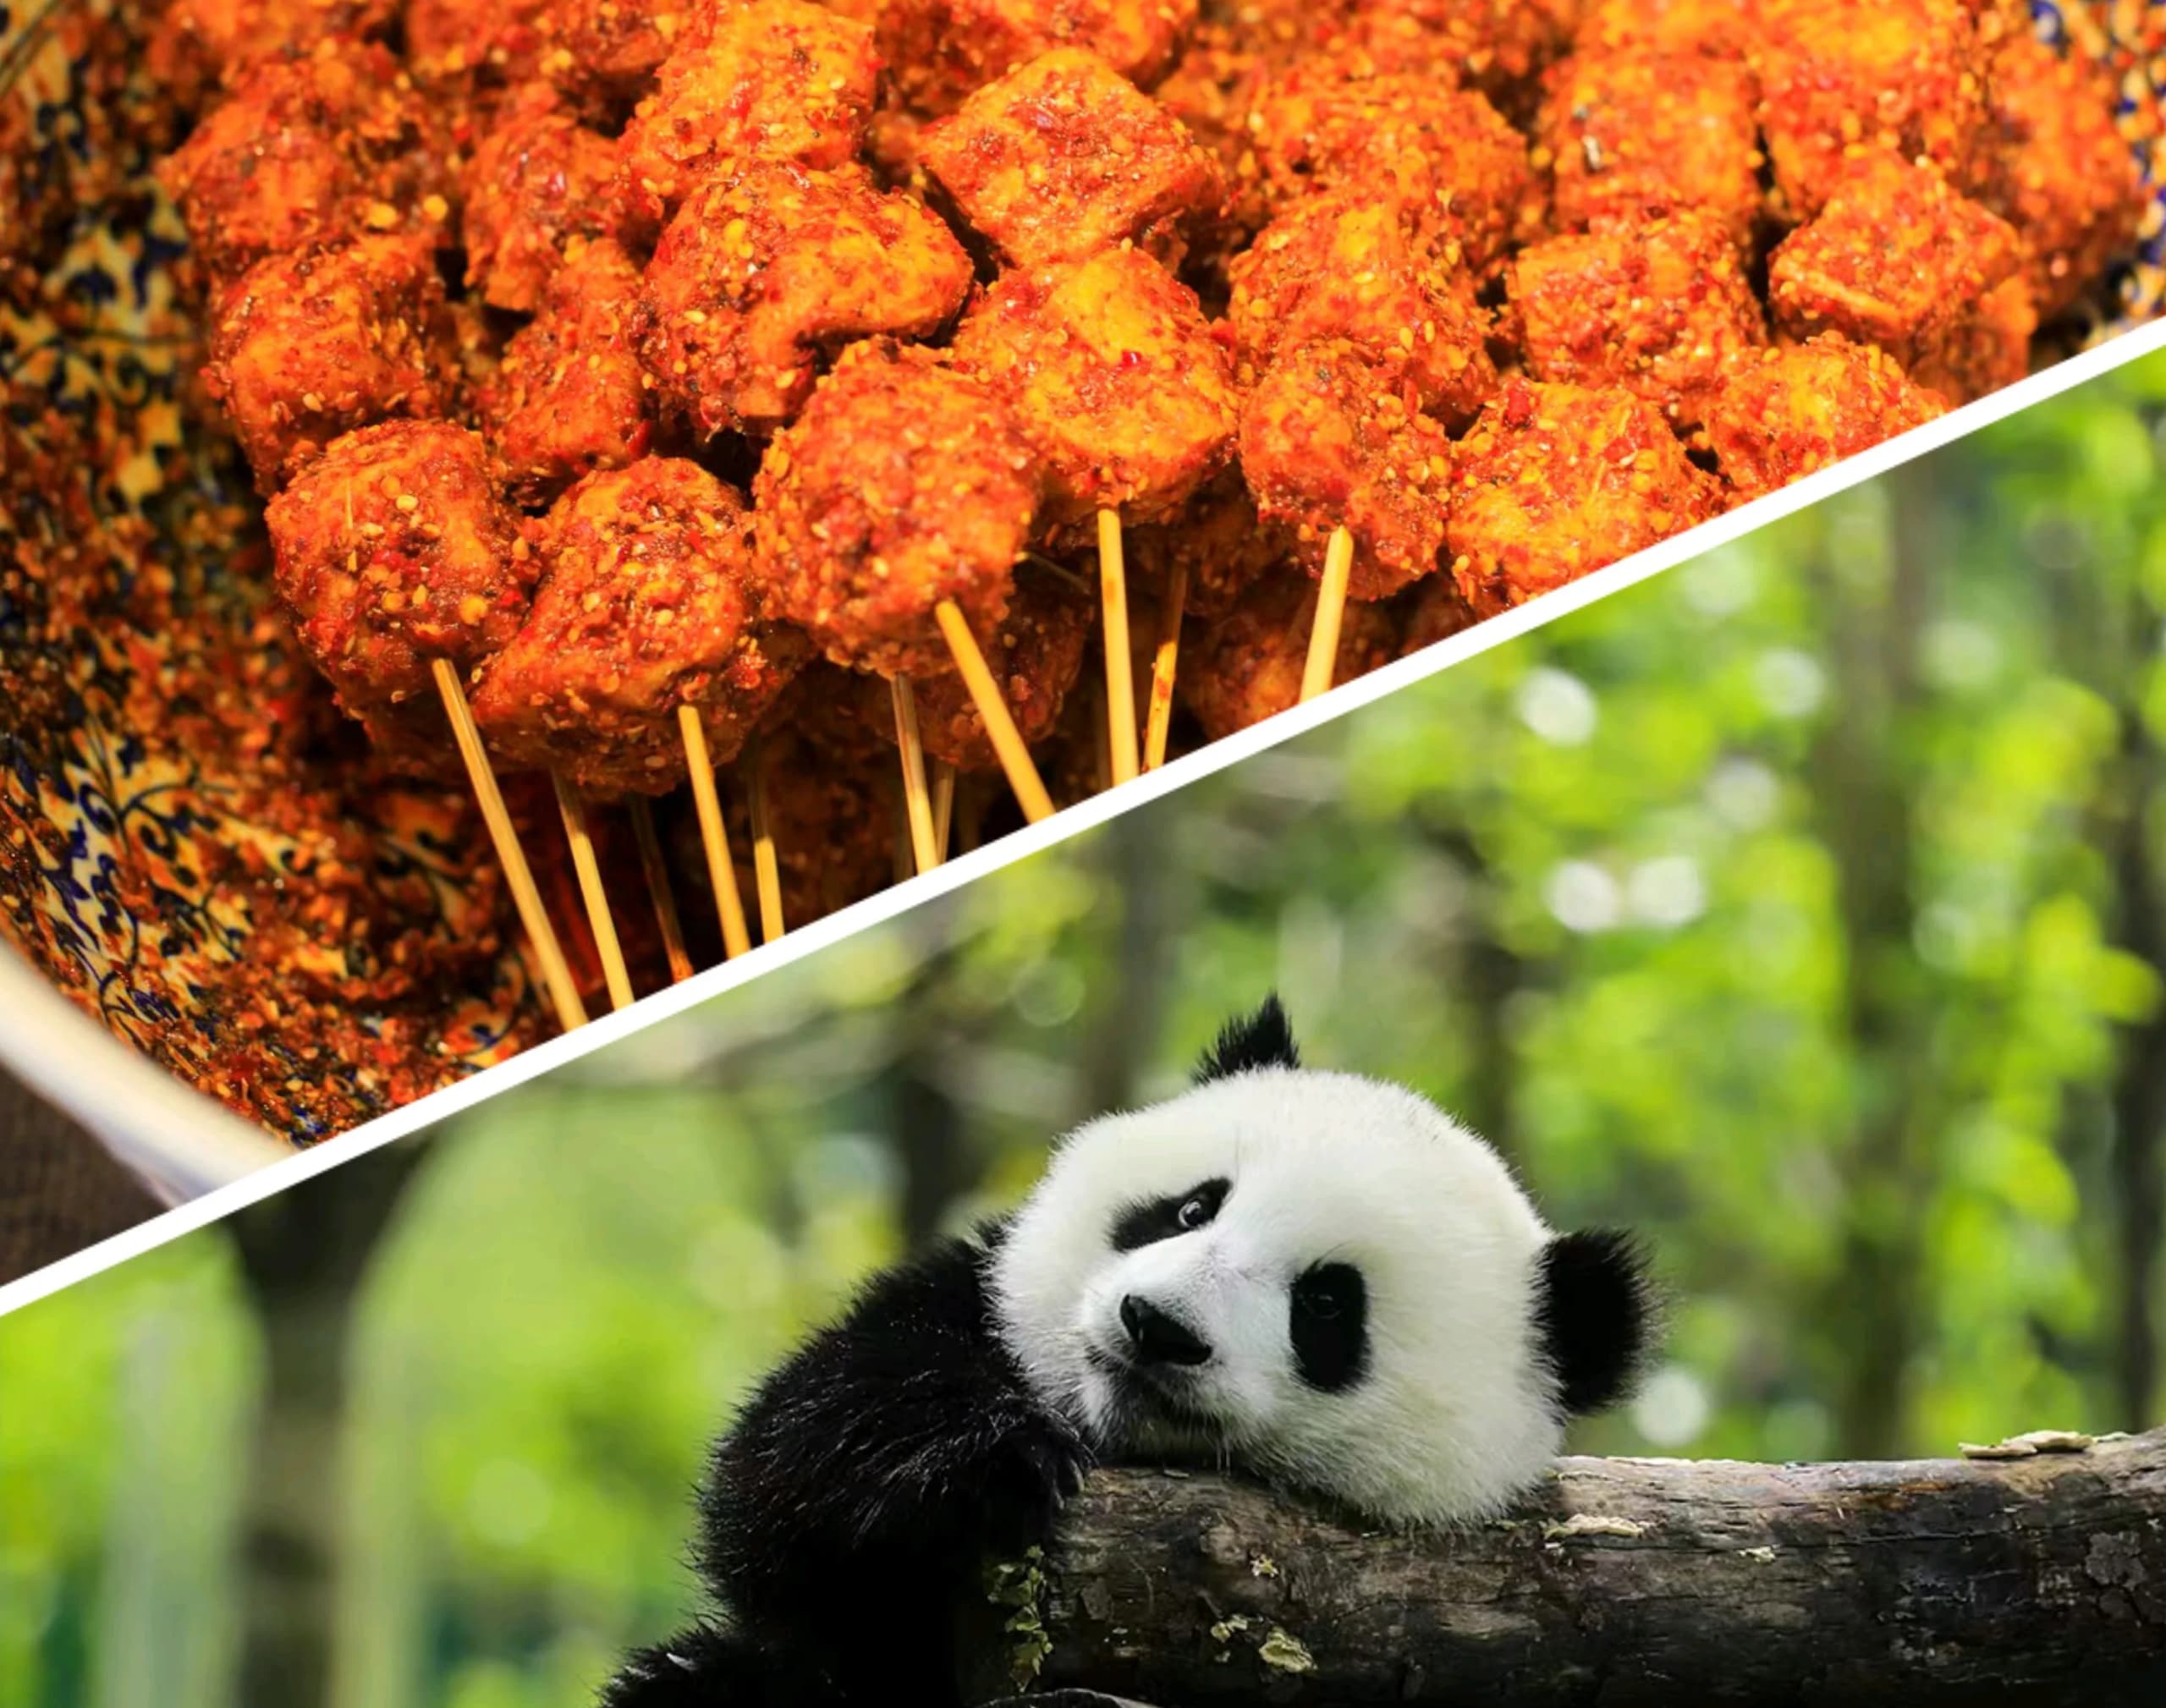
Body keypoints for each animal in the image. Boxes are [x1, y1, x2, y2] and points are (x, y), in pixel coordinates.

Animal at [602, 996, 1654, 1707]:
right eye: (1191, 1208)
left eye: (1325, 1305)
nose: (1157, 1325)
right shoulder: (972, 1308)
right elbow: (794, 1479)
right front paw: (984, 1463)